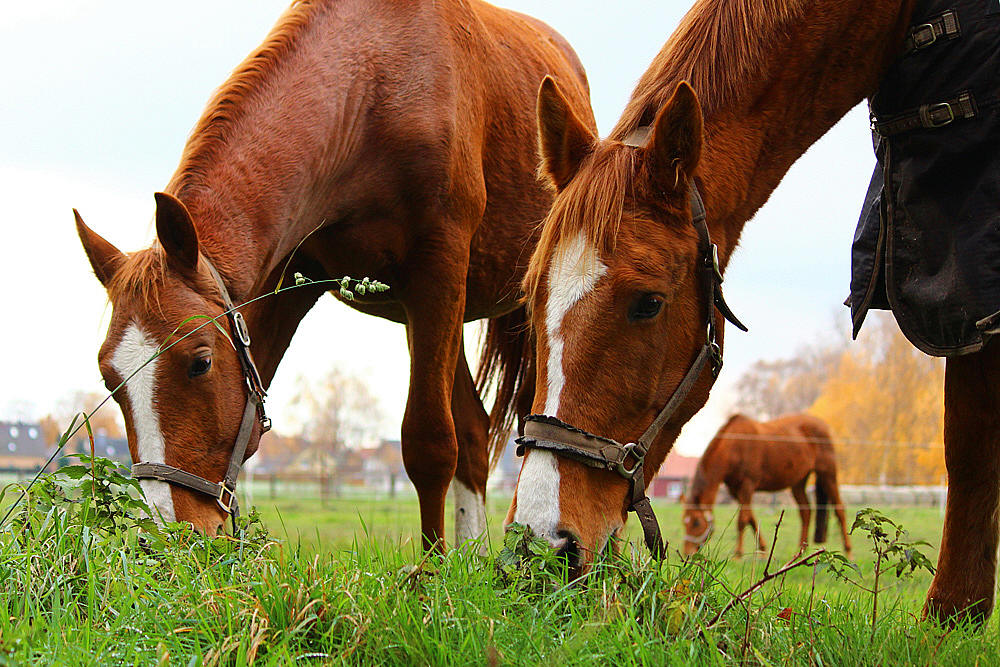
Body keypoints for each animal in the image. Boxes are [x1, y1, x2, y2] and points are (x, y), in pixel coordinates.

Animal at [80, 0, 592, 552]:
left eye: (199, 363)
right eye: (110, 379)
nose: (171, 535)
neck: (374, 87)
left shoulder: (438, 274)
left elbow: (430, 442)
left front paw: (433, 569)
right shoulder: (291, 284)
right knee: (475, 436)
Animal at [680, 412, 852, 560]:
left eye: (696, 523)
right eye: (684, 522)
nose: (687, 552)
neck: (735, 446)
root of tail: (823, 425)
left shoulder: (747, 486)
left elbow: (742, 520)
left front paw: (738, 555)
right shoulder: (736, 490)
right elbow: (751, 519)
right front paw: (763, 551)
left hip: (828, 474)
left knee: (839, 510)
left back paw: (848, 552)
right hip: (798, 482)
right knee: (806, 512)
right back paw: (800, 552)